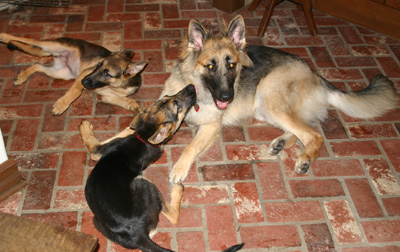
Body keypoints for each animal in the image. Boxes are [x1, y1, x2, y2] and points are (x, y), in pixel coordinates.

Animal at [0, 33, 147, 115]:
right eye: (99, 65)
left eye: (107, 74)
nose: (84, 81)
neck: (115, 87)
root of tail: (57, 55)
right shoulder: (85, 73)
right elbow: (75, 91)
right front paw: (61, 105)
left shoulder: (107, 97)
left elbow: (128, 99)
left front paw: (134, 106)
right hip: (52, 46)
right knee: (31, 40)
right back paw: (4, 36)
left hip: (60, 72)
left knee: (37, 65)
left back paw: (21, 77)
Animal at [79, 84, 244, 252]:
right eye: (176, 105)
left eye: (170, 98)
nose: (191, 86)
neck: (144, 138)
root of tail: (138, 235)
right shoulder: (99, 150)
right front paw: (86, 126)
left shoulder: (100, 150)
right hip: (141, 185)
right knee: (173, 216)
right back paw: (177, 189)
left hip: (103, 217)